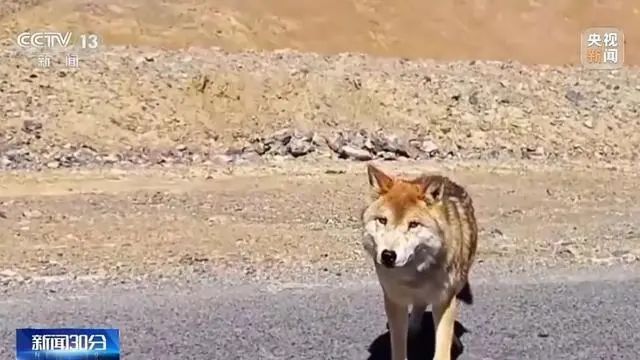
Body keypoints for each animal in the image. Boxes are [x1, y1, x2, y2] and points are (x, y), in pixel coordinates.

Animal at [360, 164, 476, 360]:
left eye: (413, 224)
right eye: (383, 220)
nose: (388, 255)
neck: (415, 275)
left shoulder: (443, 299)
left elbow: (442, 347)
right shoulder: (395, 300)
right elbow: (399, 346)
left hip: (458, 283)